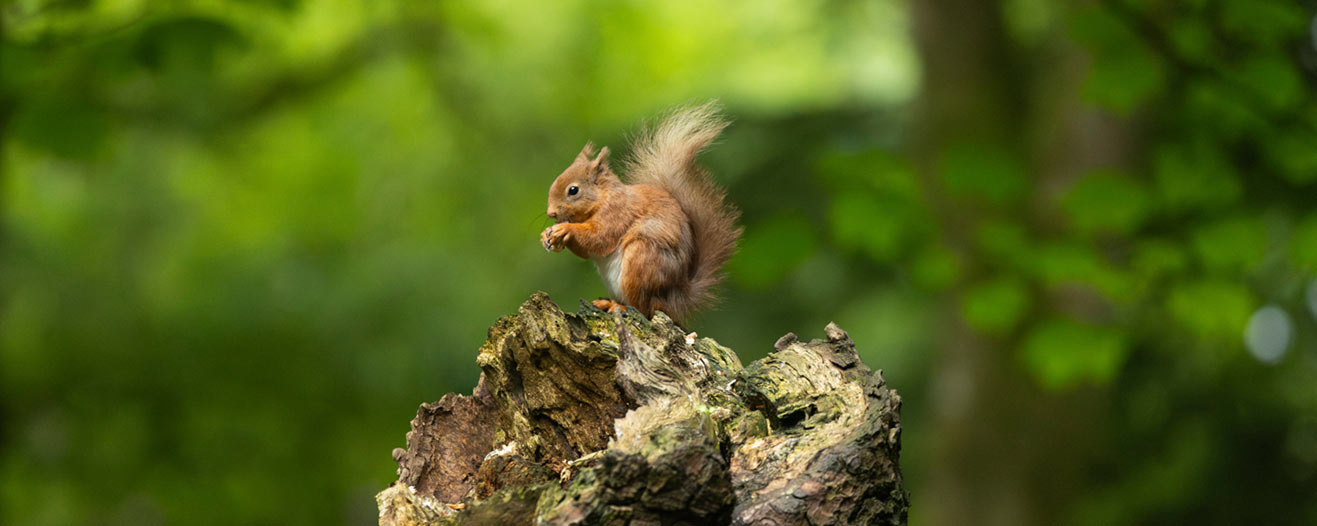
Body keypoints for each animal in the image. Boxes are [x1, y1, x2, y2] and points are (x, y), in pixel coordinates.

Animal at [540, 102, 742, 325]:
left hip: (641, 262)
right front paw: (546, 235)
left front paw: (566, 229)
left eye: (573, 190)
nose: (551, 213)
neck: (603, 198)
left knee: (644, 308)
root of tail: (676, 300)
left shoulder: (617, 213)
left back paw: (618, 306)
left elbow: (599, 238)